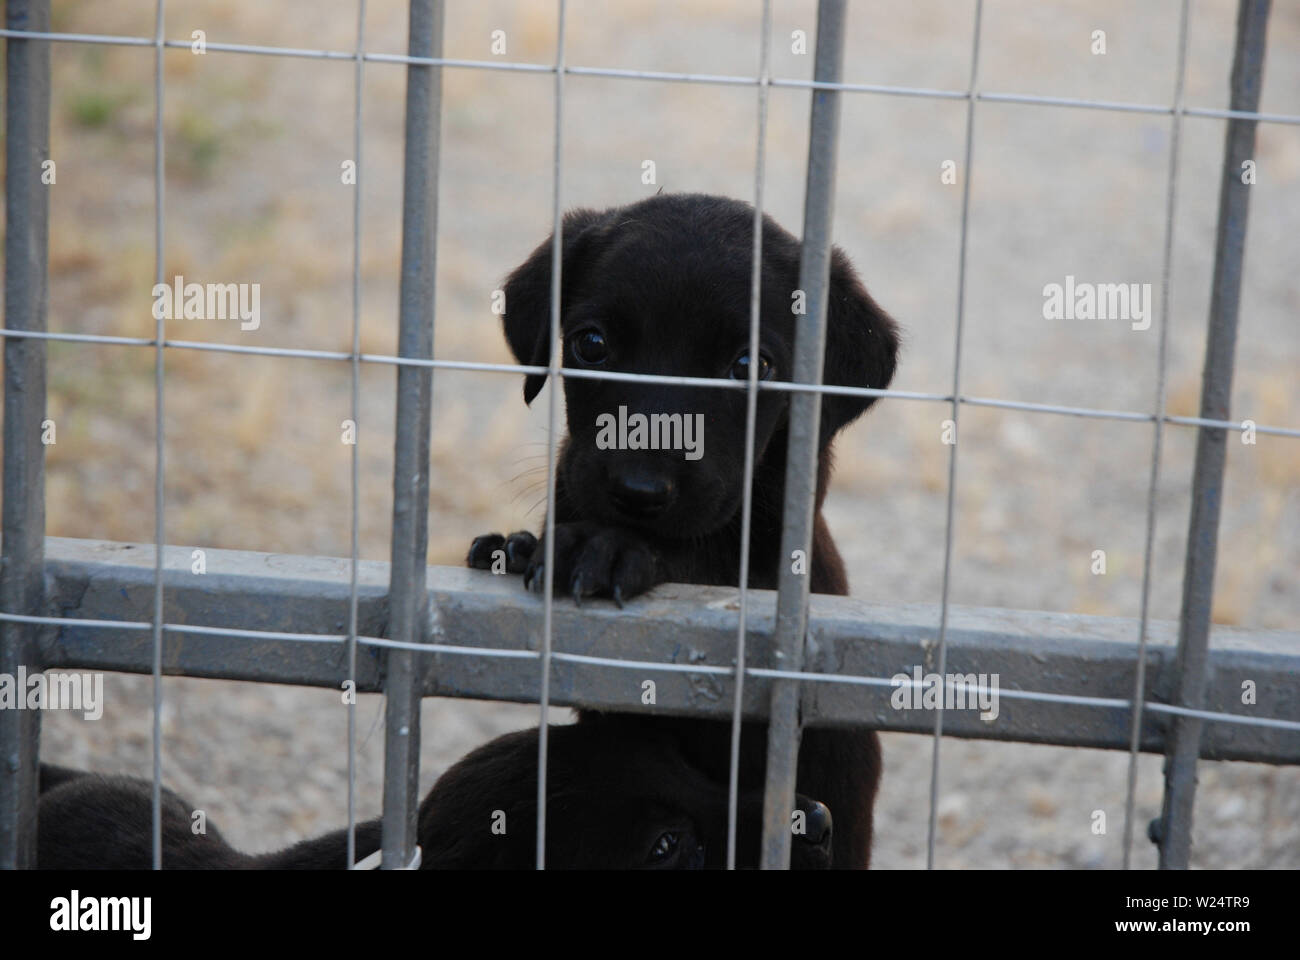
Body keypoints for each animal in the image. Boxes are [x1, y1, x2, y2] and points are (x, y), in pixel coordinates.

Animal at [470, 195, 904, 868]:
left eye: (750, 366)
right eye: (591, 344)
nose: (637, 491)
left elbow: (696, 559)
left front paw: (604, 549)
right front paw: (517, 547)